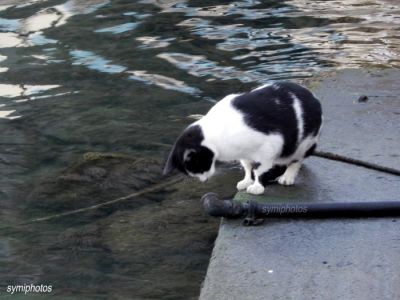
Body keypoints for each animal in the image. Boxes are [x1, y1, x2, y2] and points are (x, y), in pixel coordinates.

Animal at [162, 81, 322, 195]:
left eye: (198, 166)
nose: (204, 180)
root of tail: (314, 97)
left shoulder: (271, 145)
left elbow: (259, 170)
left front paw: (257, 187)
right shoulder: (244, 154)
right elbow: (247, 167)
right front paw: (246, 181)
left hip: (303, 143)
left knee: (297, 159)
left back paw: (287, 176)